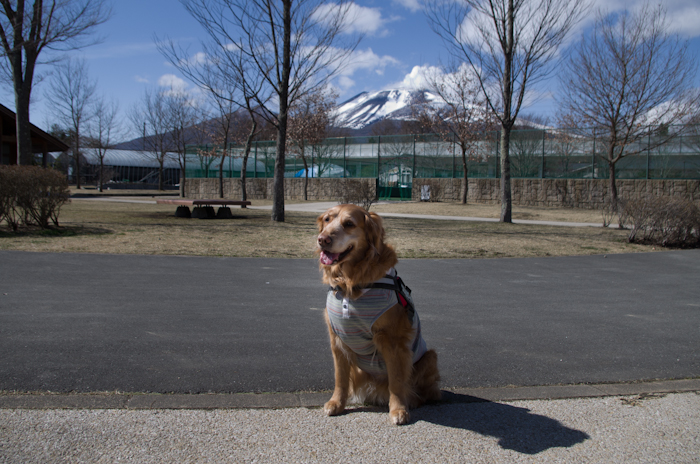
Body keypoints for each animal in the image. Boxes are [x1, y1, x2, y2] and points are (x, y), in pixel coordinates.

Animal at [318, 203, 442, 424]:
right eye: (327, 219)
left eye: (349, 224)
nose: (323, 239)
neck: (351, 283)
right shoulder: (337, 340)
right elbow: (340, 378)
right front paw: (336, 403)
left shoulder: (392, 340)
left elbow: (396, 380)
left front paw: (398, 410)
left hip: (430, 356)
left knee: (426, 392)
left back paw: (412, 399)